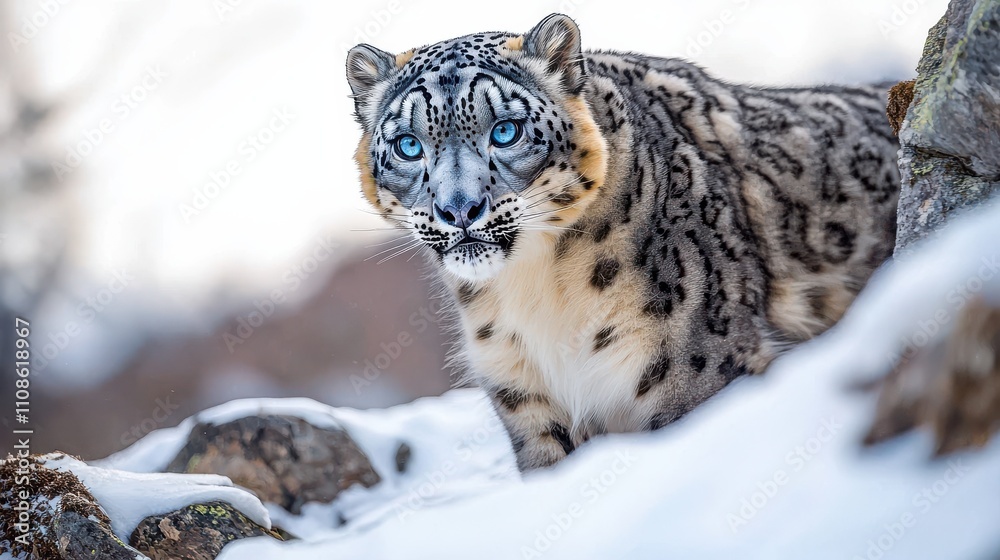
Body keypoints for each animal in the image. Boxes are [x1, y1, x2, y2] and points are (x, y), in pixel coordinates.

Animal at [346, 14, 900, 472]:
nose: (459, 209)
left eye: (505, 131)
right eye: (408, 145)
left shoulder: (695, 366)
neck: (536, 290)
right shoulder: (525, 394)